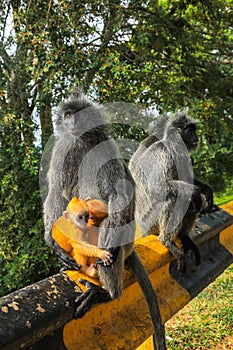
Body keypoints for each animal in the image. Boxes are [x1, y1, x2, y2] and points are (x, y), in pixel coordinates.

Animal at [43, 91, 167, 348]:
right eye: (68, 115)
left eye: (79, 113)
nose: (72, 121)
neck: (83, 140)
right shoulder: (64, 148)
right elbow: (55, 193)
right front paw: (53, 243)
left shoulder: (105, 147)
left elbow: (118, 194)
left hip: (125, 238)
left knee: (111, 238)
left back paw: (107, 294)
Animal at [129, 112, 215, 274]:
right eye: (190, 131)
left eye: (195, 131)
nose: (197, 137)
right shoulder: (164, 153)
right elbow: (156, 188)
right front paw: (196, 191)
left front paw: (206, 190)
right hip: (151, 221)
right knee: (177, 198)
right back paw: (166, 240)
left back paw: (183, 235)